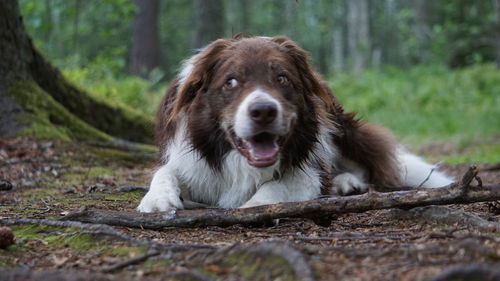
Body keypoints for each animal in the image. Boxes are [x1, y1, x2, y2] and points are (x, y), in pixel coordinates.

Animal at [137, 34, 454, 212]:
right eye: (231, 81)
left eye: (282, 79)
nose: (263, 111)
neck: (241, 163)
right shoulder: (192, 160)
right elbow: (165, 172)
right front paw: (158, 199)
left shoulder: (307, 169)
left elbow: (278, 187)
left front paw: (252, 206)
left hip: (340, 127)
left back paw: (346, 181)